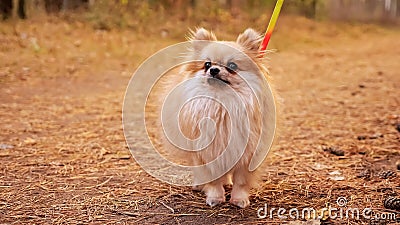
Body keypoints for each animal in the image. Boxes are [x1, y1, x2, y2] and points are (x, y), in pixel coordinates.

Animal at [161, 27, 276, 207]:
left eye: (232, 65)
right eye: (207, 64)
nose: (214, 70)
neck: (223, 103)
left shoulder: (248, 153)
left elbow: (241, 181)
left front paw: (239, 199)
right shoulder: (207, 151)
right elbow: (213, 180)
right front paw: (215, 197)